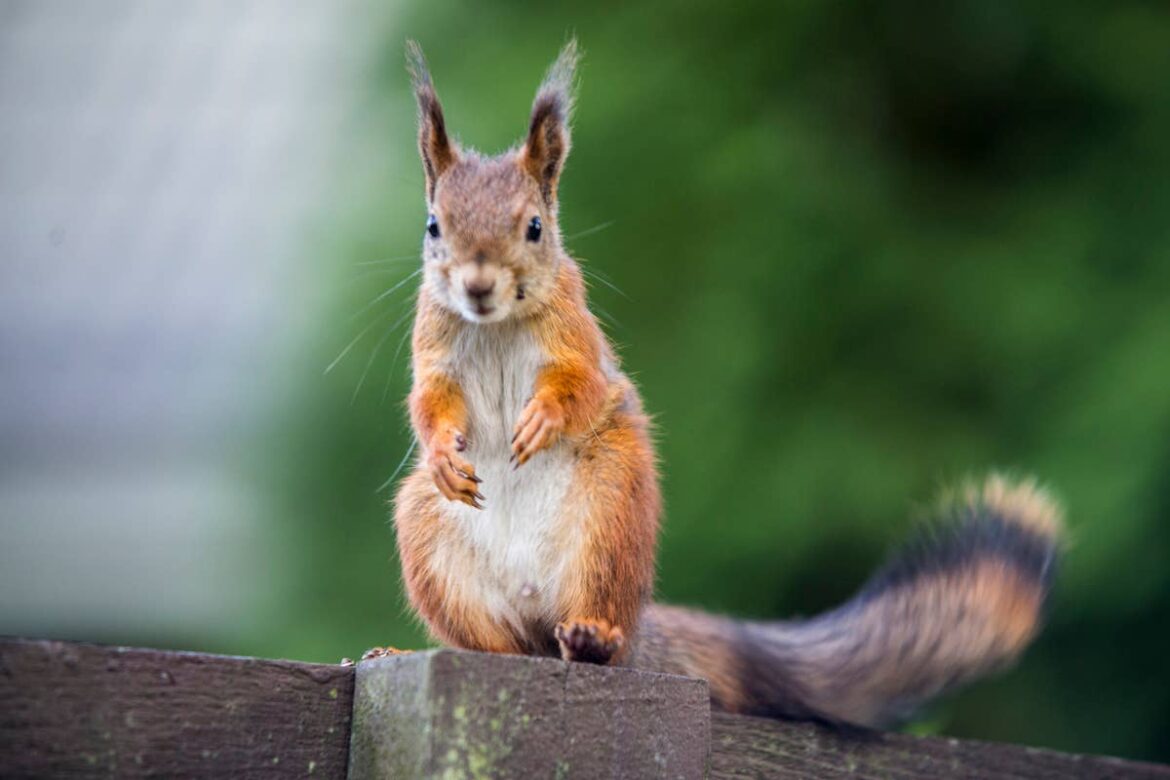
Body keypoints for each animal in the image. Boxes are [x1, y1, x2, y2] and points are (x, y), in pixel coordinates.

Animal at [389, 40, 1063, 728]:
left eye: (534, 227)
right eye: (433, 226)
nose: (477, 286)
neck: (494, 324)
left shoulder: (576, 338)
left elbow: (579, 386)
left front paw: (542, 419)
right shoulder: (433, 352)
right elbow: (429, 405)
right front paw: (443, 454)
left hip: (610, 511)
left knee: (594, 629)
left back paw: (591, 639)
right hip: (429, 540)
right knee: (497, 643)